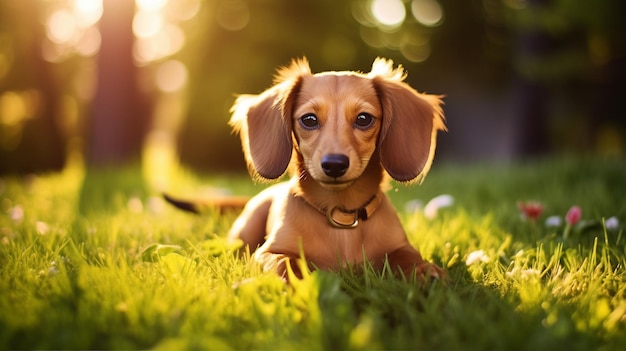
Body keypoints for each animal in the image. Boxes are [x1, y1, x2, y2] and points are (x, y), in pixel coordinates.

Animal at [167, 58, 444, 284]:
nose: (334, 164)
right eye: (309, 119)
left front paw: (425, 272)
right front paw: (296, 280)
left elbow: (407, 257)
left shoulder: (399, 246)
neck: (342, 217)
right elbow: (283, 261)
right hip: (244, 233)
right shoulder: (267, 252)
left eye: (364, 118)